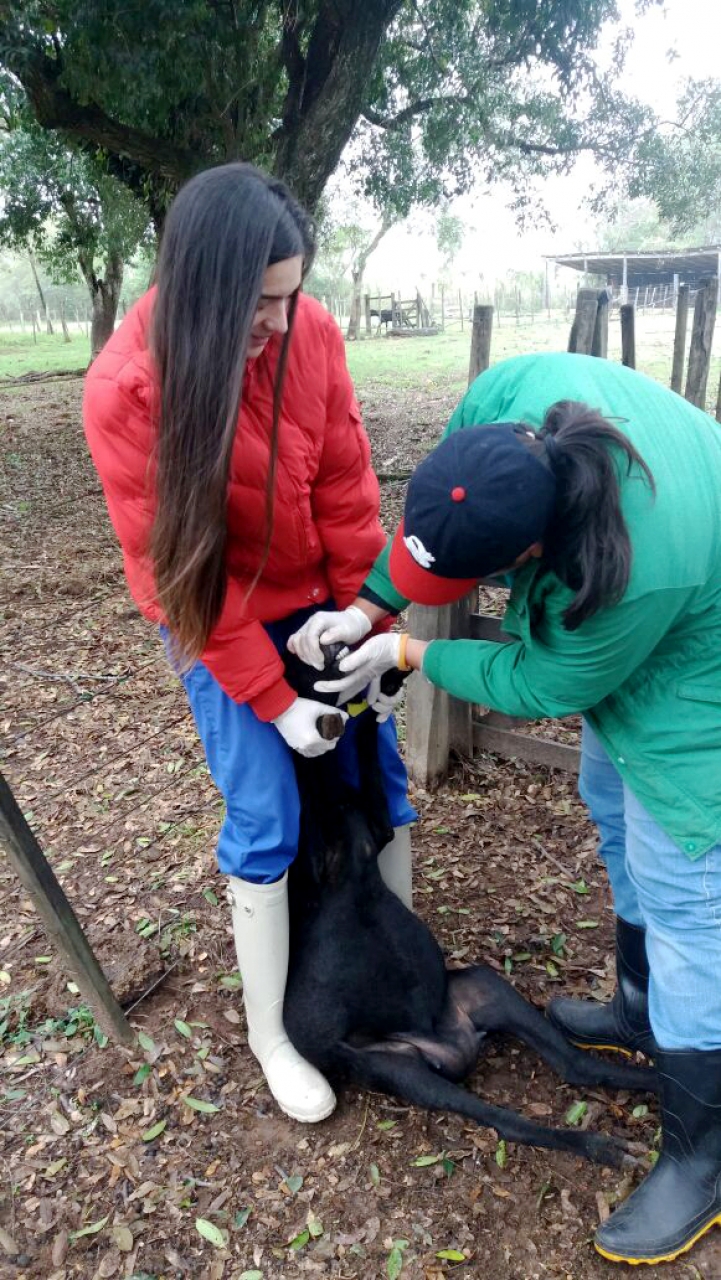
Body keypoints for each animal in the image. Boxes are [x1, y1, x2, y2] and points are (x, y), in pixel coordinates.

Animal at [283, 655, 660, 1167]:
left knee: (576, 1063)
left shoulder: (374, 825)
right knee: (511, 1122)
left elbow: (358, 746)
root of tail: (454, 1045)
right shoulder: (326, 840)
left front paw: (381, 684)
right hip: (402, 1069)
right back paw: (601, 1144)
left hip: (485, 987)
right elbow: (313, 763)